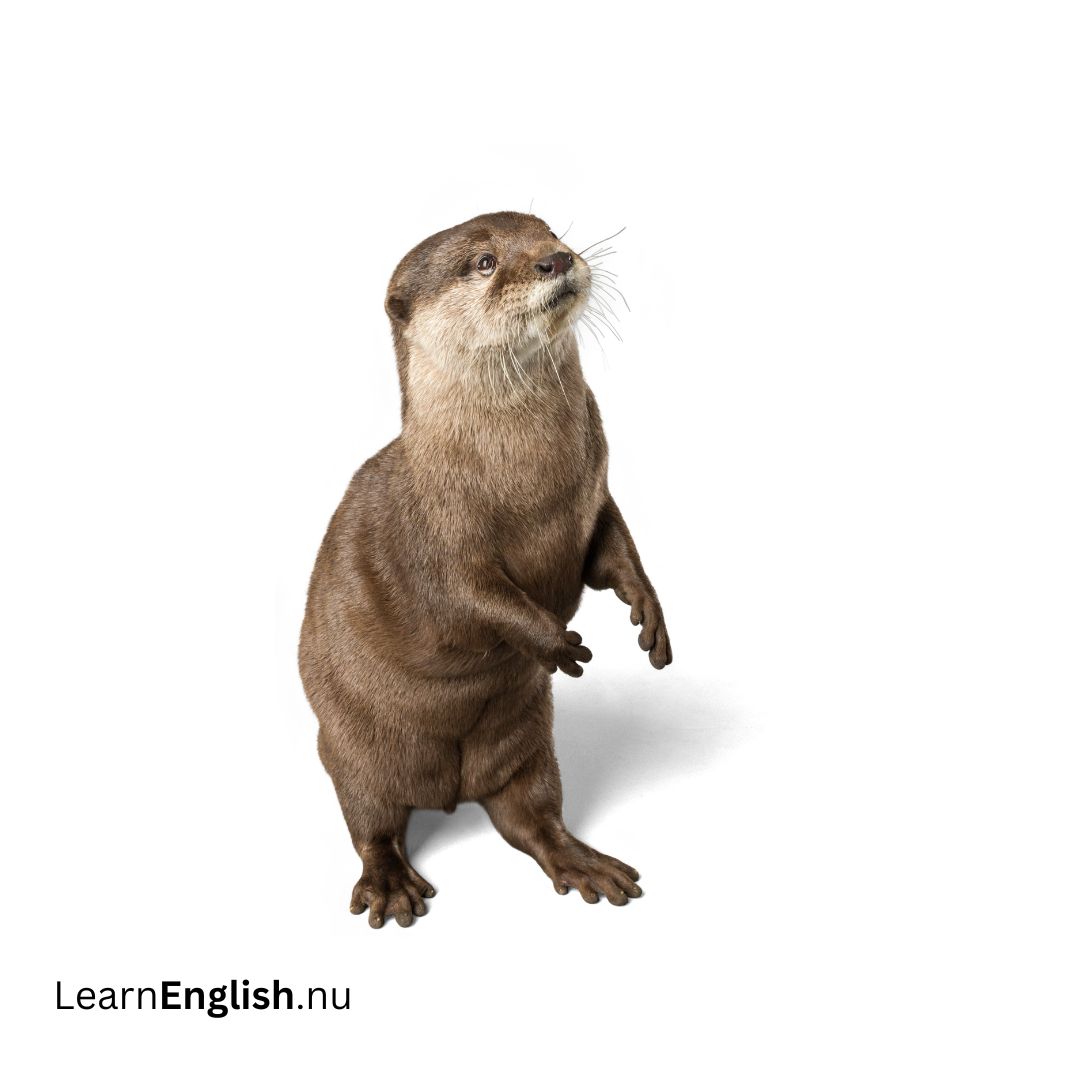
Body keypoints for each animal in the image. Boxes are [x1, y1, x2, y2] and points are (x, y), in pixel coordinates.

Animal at [299, 211, 671, 927]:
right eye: (484, 261)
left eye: (549, 231)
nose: (556, 259)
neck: (528, 484)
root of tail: (449, 793)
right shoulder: (436, 534)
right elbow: (474, 596)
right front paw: (558, 643)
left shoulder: (595, 494)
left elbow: (613, 549)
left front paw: (648, 612)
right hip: (351, 746)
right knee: (370, 821)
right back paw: (391, 884)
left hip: (529, 743)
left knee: (532, 816)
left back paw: (584, 863)